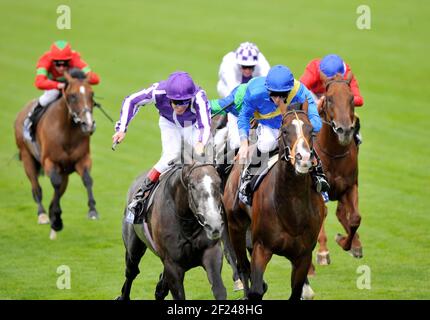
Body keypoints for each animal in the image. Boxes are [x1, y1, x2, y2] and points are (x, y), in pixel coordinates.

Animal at [14, 70, 98, 240]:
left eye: (92, 94)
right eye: (72, 96)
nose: (88, 124)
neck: (67, 132)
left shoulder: (82, 159)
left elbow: (87, 180)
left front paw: (92, 210)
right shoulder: (49, 161)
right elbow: (55, 185)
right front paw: (56, 218)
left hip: (64, 171)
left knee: (58, 190)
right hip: (27, 157)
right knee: (36, 188)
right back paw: (43, 215)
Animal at [116, 161, 227, 302]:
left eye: (219, 183)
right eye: (192, 186)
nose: (214, 224)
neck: (187, 224)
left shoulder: (211, 251)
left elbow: (219, 290)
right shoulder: (172, 264)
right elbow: (178, 295)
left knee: (160, 288)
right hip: (133, 248)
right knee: (131, 271)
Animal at [223, 107, 324, 300]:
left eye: (311, 131)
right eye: (285, 131)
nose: (303, 158)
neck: (292, 209)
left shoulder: (303, 255)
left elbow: (296, 292)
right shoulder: (262, 247)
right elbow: (255, 289)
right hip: (235, 226)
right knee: (243, 266)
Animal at [312, 73, 362, 264]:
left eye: (351, 98)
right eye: (329, 99)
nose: (345, 130)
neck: (333, 153)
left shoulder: (349, 185)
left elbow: (355, 218)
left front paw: (347, 242)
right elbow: (321, 212)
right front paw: (322, 252)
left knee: (342, 213)